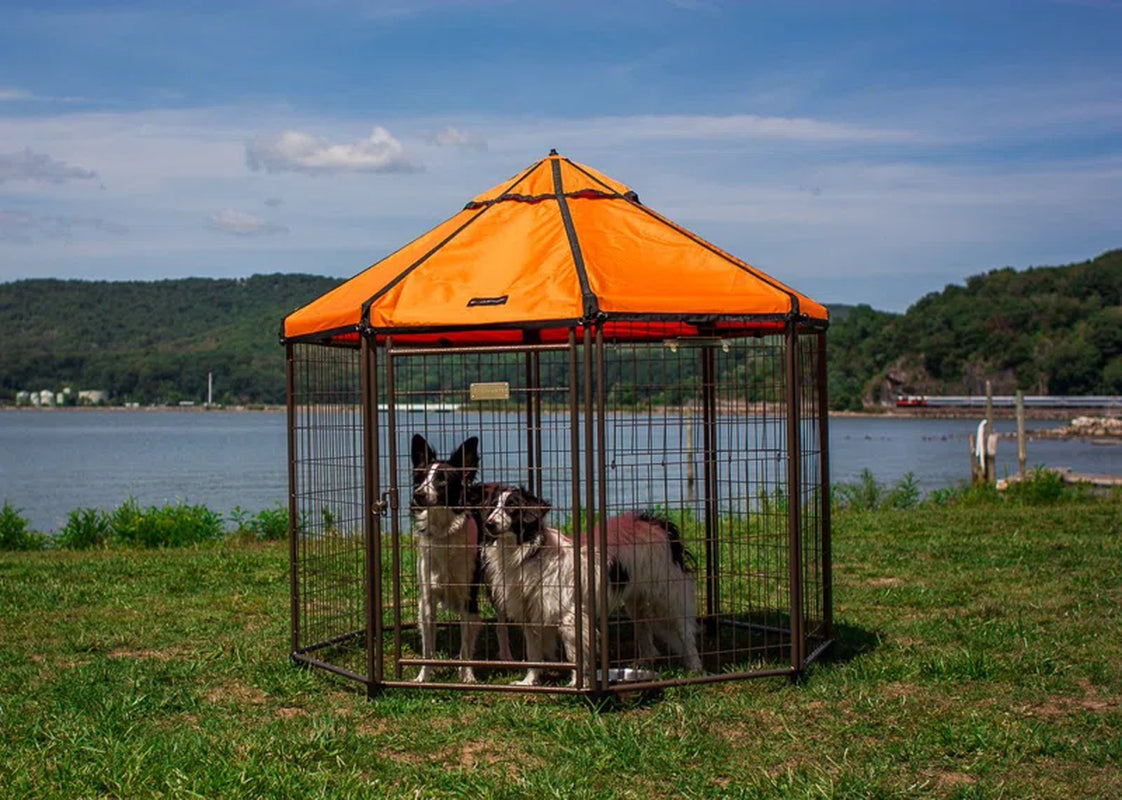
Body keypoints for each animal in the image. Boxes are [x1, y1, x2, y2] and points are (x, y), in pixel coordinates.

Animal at [410, 433, 511, 682]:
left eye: (442, 481)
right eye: (421, 478)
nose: (418, 495)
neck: (443, 533)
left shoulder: (468, 599)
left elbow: (466, 645)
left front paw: (467, 678)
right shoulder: (427, 600)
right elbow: (428, 647)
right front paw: (423, 678)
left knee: (501, 622)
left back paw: (506, 656)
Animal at [482, 486, 700, 686]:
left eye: (512, 507)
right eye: (492, 507)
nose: (488, 524)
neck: (531, 553)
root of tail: (657, 522)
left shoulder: (570, 617)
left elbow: (575, 654)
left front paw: (579, 683)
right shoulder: (532, 615)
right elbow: (534, 653)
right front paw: (529, 681)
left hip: (668, 596)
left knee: (685, 631)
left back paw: (695, 666)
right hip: (636, 599)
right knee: (644, 628)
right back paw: (646, 662)